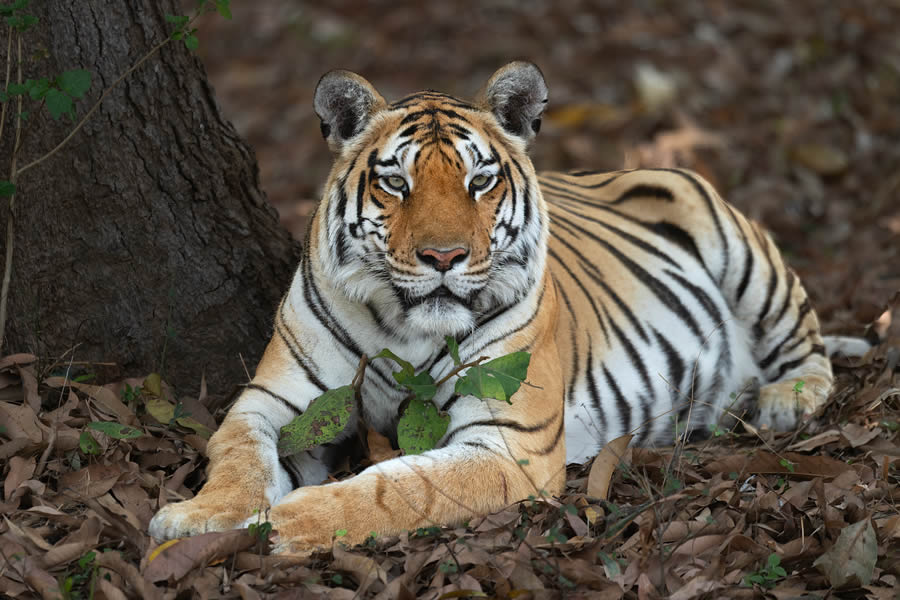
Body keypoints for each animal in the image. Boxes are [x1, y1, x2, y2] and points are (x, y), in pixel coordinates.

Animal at [149, 61, 872, 552]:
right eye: (395, 182)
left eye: (480, 180)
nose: (444, 257)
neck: (403, 327)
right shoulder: (269, 399)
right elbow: (238, 454)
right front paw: (197, 518)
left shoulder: (506, 441)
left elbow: (400, 486)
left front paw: (295, 519)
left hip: (736, 244)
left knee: (807, 339)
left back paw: (785, 399)